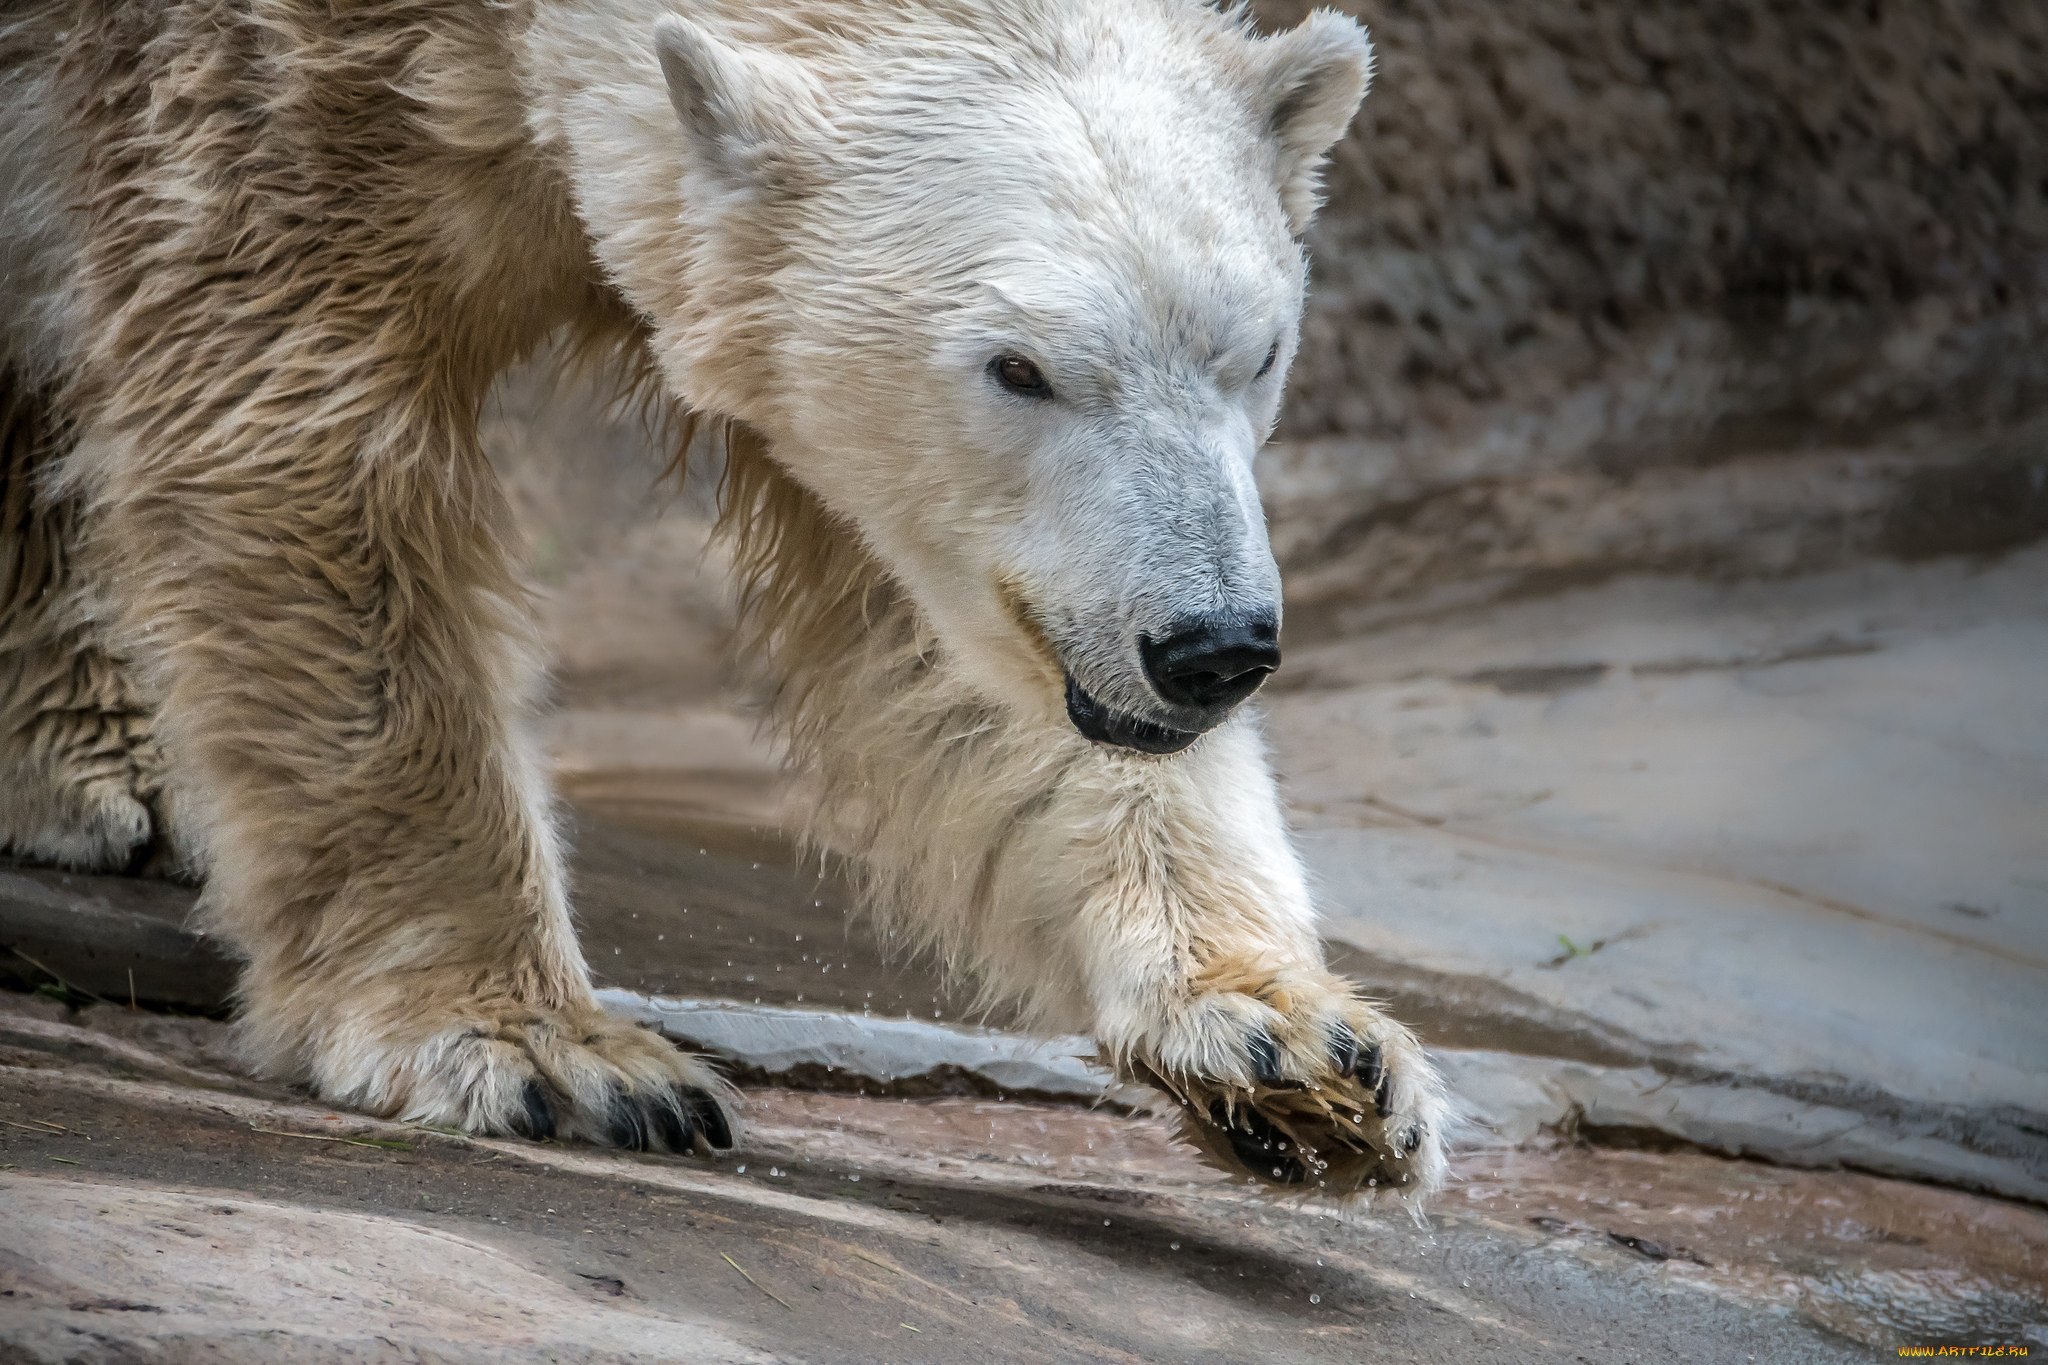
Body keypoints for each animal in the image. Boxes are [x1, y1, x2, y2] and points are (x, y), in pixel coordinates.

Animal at [0, 0, 1449, 1195]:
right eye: (1018, 368)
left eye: (1256, 350)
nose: (1211, 646)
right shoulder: (264, 103)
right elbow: (300, 441)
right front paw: (544, 1049)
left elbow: (946, 626)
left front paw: (1295, 1046)